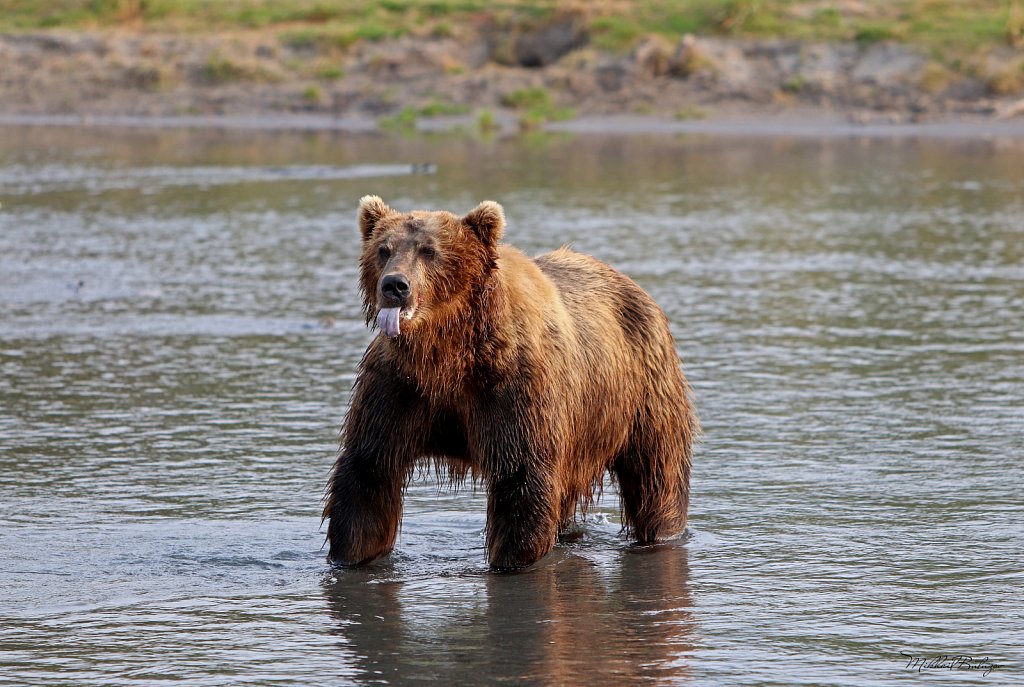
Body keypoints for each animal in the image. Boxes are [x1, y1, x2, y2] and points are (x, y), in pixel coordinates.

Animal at [323, 194, 700, 569]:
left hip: (643, 391)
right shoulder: (398, 389)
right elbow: (370, 471)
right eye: (383, 249)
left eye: (429, 250)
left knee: (656, 473)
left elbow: (520, 475)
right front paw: (350, 555)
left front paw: (511, 560)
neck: (446, 351)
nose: (395, 286)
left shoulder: (513, 387)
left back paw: (661, 531)